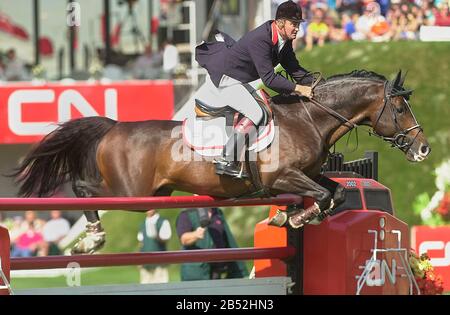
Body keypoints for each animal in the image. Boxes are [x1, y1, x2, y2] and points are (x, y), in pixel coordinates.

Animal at [12, 69, 430, 254]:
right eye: (398, 108)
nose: (423, 149)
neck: (309, 119)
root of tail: (115, 126)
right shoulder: (282, 178)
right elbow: (324, 196)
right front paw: (293, 217)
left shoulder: (309, 175)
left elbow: (336, 194)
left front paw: (290, 217)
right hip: (132, 193)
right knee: (83, 188)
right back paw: (91, 238)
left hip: (152, 193)